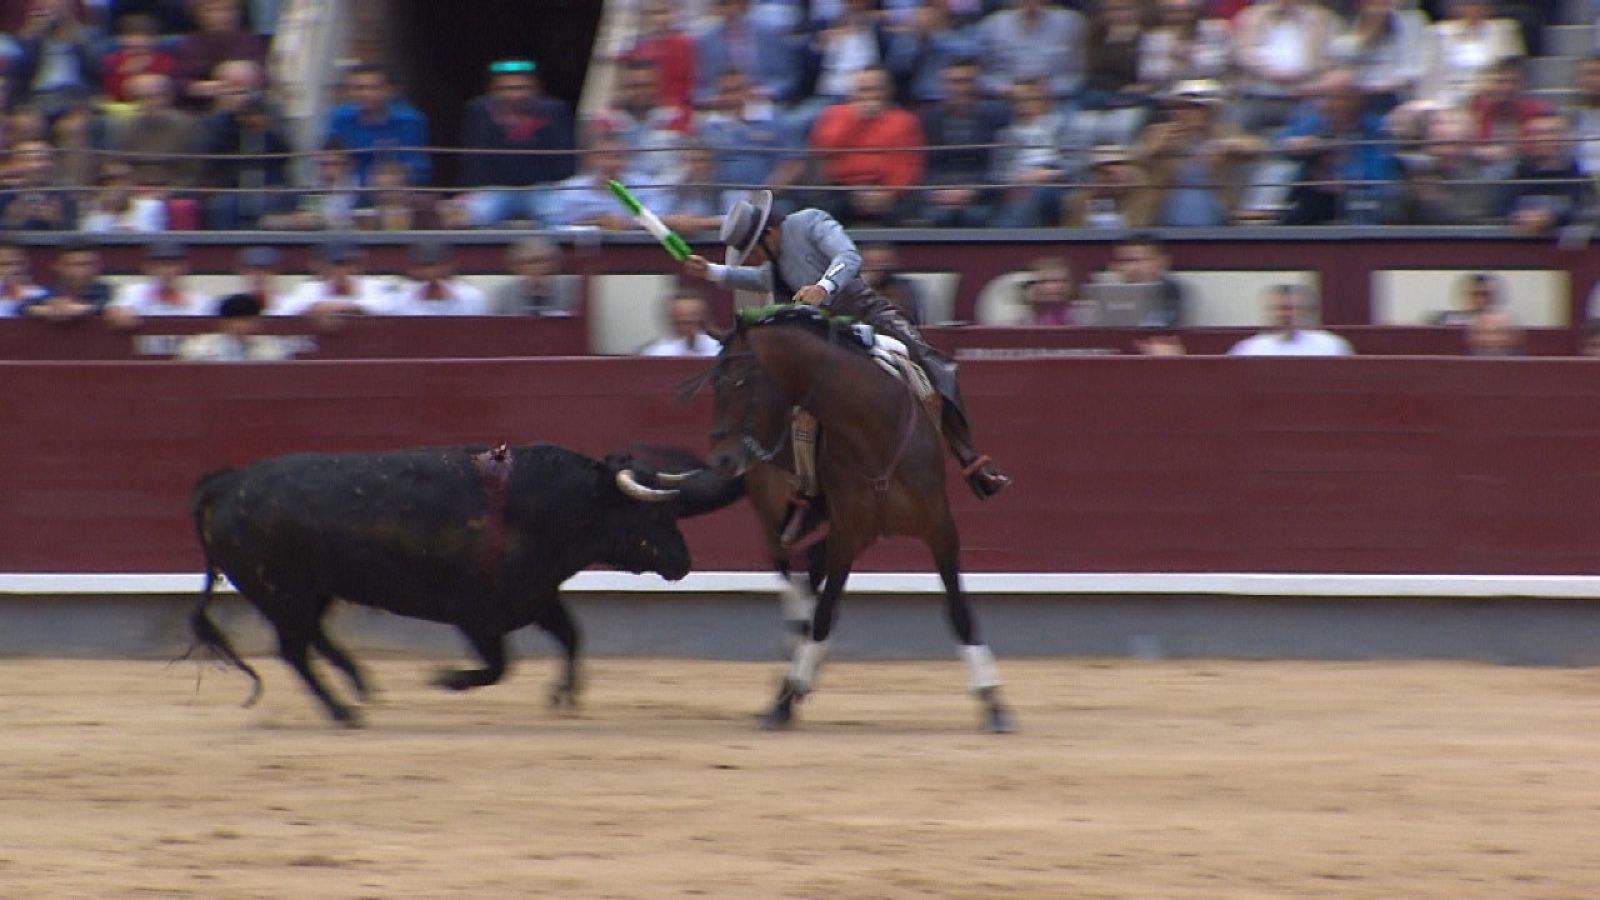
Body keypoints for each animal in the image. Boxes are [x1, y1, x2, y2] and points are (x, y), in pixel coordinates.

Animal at [190, 441, 739, 720]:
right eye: (651, 516)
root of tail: (223, 482)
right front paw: (447, 679)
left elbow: (571, 637)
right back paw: (344, 711)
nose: (683, 562)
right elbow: (499, 666)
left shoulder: (536, 598)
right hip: (283, 593)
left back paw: (360, 686)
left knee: (313, 640)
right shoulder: (476, 615)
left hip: (311, 592)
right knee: (294, 650)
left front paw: (563, 697)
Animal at [700, 307, 1011, 730]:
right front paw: (787, 697)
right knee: (795, 585)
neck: (872, 432)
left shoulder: (940, 528)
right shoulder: (846, 535)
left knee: (808, 579)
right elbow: (823, 614)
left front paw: (993, 702)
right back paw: (789, 680)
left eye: (741, 381)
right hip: (775, 523)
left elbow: (959, 610)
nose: (721, 460)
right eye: (714, 384)